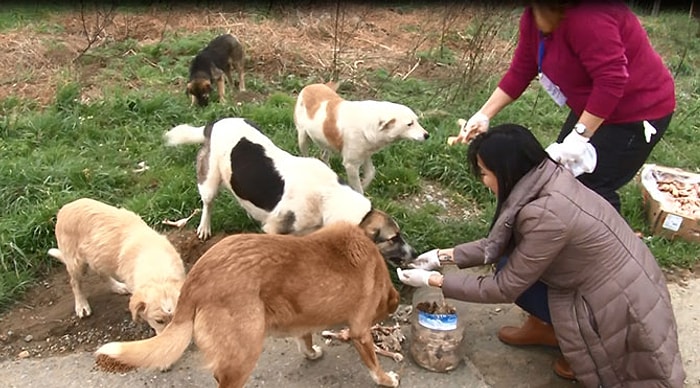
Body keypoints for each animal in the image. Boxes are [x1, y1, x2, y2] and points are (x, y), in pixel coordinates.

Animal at [47, 197, 187, 334]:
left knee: (101, 272)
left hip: (97, 255)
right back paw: (81, 305)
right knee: (75, 282)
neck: (157, 269)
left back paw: (117, 287)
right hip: (76, 263)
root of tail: (64, 208)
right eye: (159, 321)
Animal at [96, 221, 402, 388]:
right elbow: (373, 364)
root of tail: (197, 279)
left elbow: (304, 338)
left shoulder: (303, 317)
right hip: (246, 349)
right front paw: (387, 378)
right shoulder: (361, 331)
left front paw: (311, 352)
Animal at [164, 116, 416, 266]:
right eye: (393, 238)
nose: (414, 253)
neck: (330, 198)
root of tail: (215, 124)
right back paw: (204, 227)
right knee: (207, 203)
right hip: (210, 180)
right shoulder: (274, 230)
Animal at [294, 82, 430, 194]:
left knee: (324, 156)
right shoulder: (351, 165)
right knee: (306, 155)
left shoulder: (365, 155)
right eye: (409, 124)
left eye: (417, 121)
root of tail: (310, 86)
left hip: (326, 142)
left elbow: (371, 173)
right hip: (303, 139)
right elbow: (358, 188)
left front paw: (364, 185)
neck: (371, 124)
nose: (427, 135)